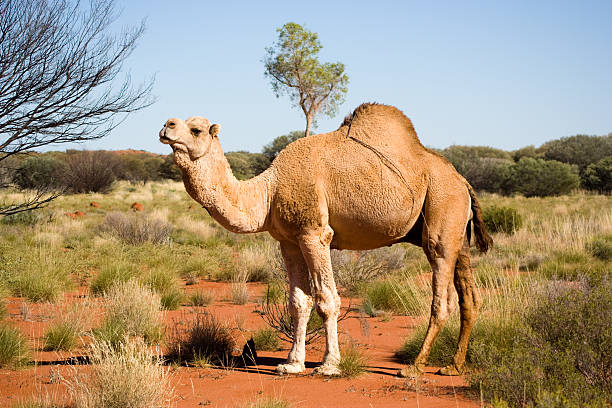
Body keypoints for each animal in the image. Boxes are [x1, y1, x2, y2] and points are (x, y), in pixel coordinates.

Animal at [161, 103, 492, 378]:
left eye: (196, 129)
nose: (166, 125)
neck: (269, 190)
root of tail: (463, 181)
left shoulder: (314, 233)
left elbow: (327, 299)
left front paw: (329, 365)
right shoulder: (289, 240)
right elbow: (299, 301)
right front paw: (292, 364)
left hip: (441, 211)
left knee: (442, 298)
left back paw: (414, 366)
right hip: (458, 235)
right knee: (470, 298)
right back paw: (453, 366)